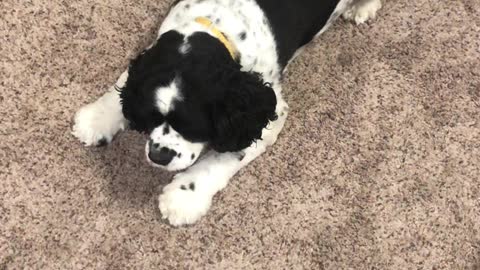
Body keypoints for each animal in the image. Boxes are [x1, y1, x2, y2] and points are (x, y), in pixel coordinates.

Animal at [72, 0, 382, 226]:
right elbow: (125, 81)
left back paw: (362, 8)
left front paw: (183, 198)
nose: (158, 157)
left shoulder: (264, 113)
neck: (219, 23)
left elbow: (224, 157)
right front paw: (97, 117)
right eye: (152, 116)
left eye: (194, 127)